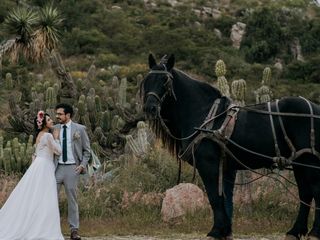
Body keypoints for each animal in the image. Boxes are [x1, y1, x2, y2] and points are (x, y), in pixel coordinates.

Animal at [142, 53, 320, 239]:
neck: (205, 114)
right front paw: (225, 230)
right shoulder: (226, 167)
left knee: (315, 191)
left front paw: (215, 231)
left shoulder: (208, 164)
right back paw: (296, 231)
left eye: (165, 81)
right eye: (147, 80)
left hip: (310, 161)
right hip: (299, 163)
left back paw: (314, 231)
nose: (150, 108)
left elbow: (214, 197)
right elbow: (224, 197)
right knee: (306, 194)